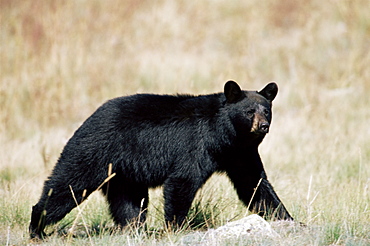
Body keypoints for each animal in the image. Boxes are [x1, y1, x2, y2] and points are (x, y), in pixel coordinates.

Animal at [30, 81, 294, 239]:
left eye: (267, 110)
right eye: (249, 111)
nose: (263, 126)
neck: (226, 136)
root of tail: (89, 117)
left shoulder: (240, 154)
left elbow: (254, 184)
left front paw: (286, 219)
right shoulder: (197, 145)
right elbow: (183, 180)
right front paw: (176, 227)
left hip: (125, 173)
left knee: (130, 202)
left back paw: (133, 229)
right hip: (93, 152)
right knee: (68, 185)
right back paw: (37, 228)